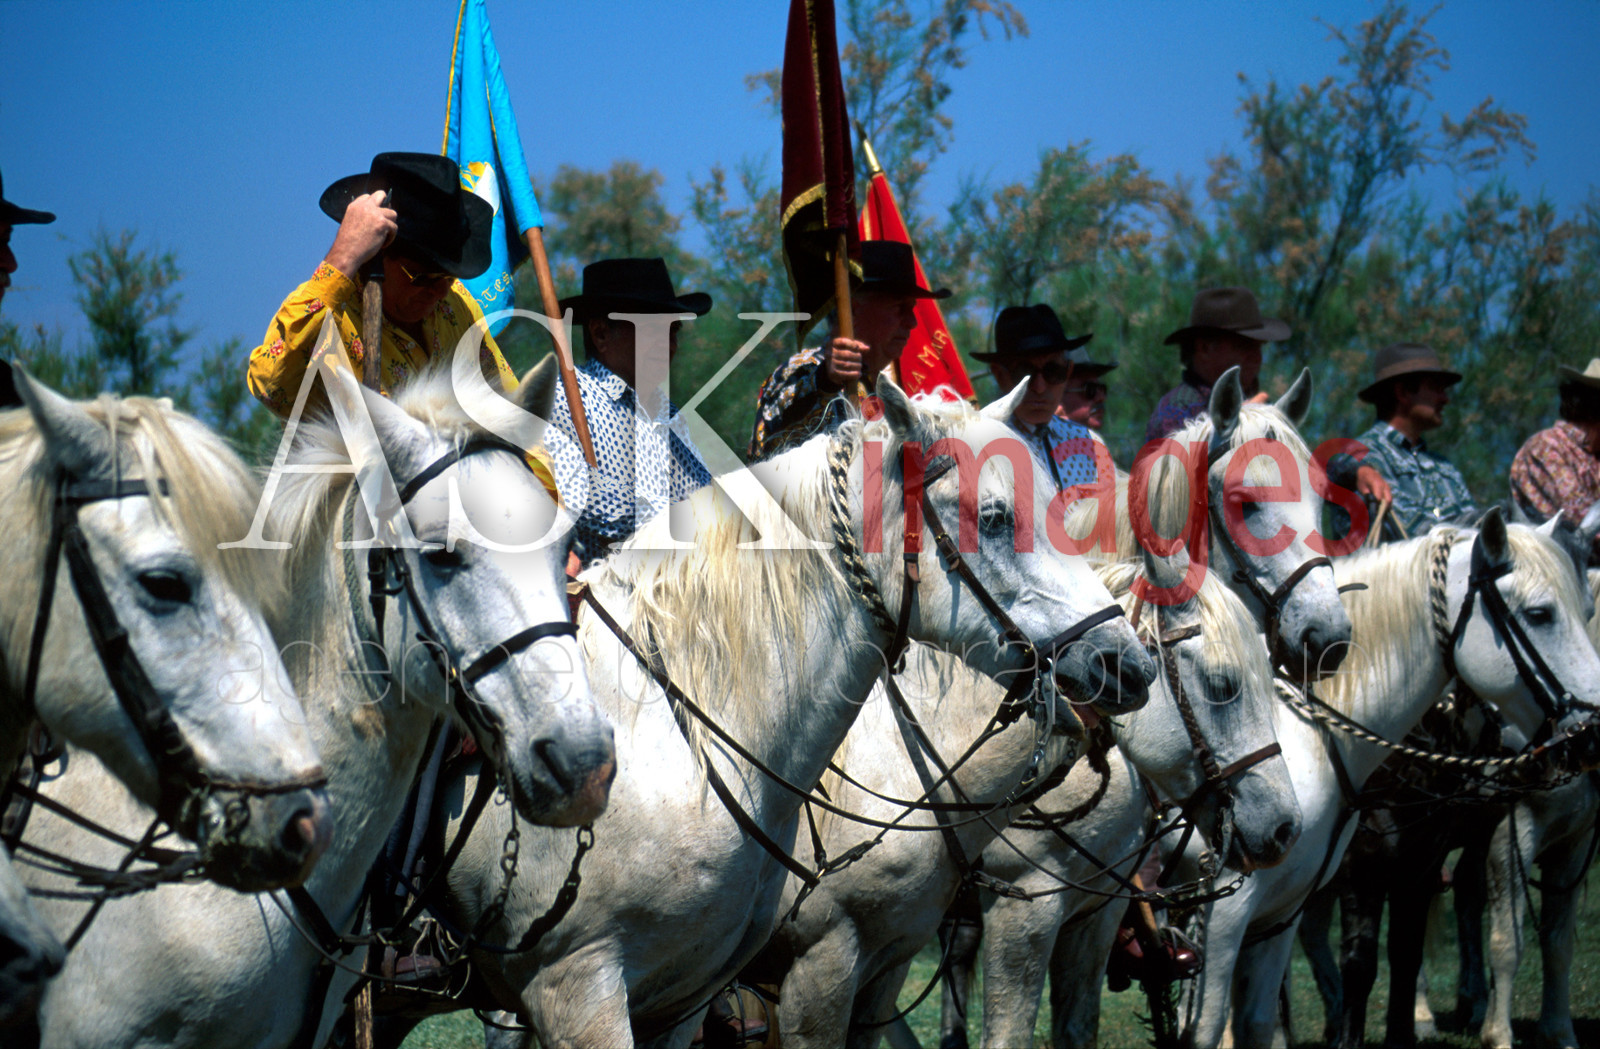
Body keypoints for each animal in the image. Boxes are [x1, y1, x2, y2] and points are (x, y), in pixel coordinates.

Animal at [1176, 511, 1600, 1049]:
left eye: (1588, 612)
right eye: (1541, 613)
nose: (1593, 734)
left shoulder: (1414, 868)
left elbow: (1407, 956)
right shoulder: (1301, 889)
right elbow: (1359, 965)